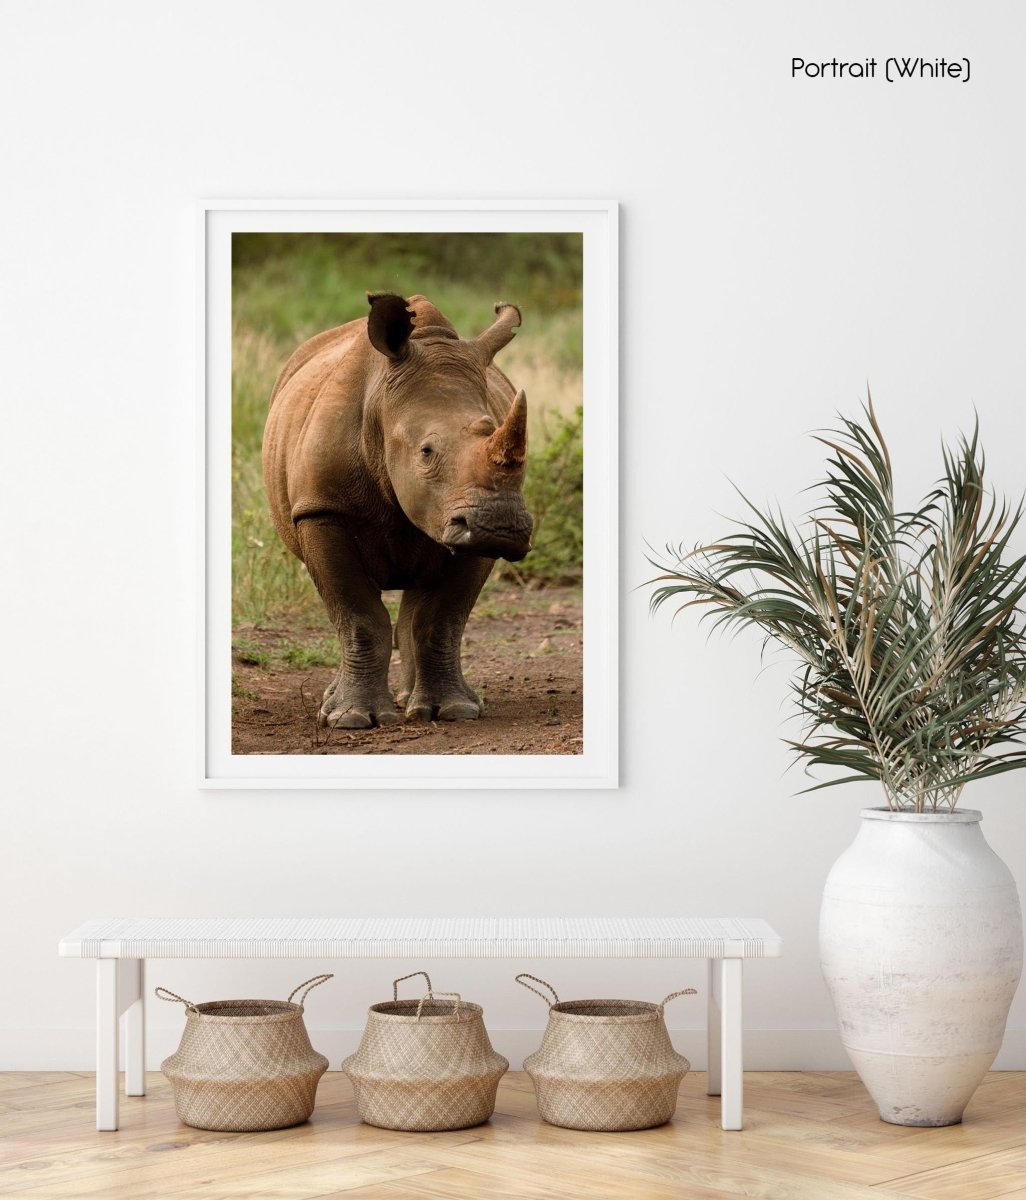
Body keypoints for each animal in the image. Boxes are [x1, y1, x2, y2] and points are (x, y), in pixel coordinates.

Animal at [260, 292, 532, 729]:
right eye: (426, 451)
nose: (500, 526)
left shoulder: (465, 530)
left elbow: (441, 620)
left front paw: (454, 711)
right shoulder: (321, 509)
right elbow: (359, 617)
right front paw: (351, 719)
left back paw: (412, 701)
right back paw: (338, 703)